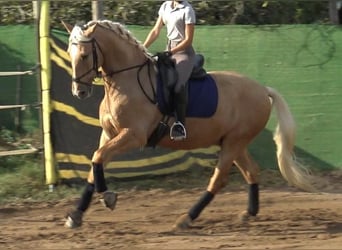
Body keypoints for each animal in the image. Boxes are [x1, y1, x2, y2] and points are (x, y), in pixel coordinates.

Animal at [60, 20, 312, 229]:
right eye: (70, 53)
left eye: (84, 55)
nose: (79, 91)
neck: (126, 81)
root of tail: (262, 90)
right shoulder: (109, 133)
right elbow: (95, 163)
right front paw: (76, 215)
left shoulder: (133, 135)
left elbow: (99, 158)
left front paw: (108, 197)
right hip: (234, 143)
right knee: (251, 171)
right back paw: (248, 213)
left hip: (234, 143)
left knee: (218, 180)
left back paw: (187, 218)